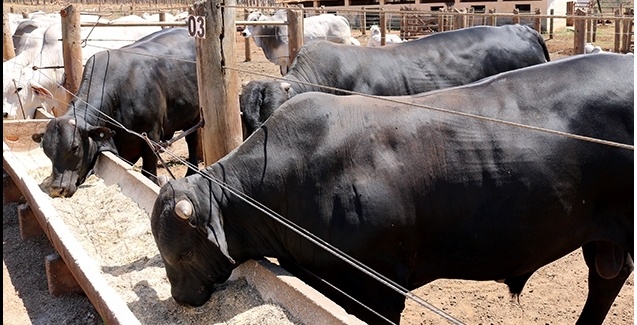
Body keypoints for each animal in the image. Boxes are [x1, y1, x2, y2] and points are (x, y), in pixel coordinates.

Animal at [31, 27, 199, 196]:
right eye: (47, 151)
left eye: (75, 147)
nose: (57, 189)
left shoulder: (152, 136)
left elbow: (149, 173)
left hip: (195, 117)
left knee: (192, 141)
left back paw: (192, 173)